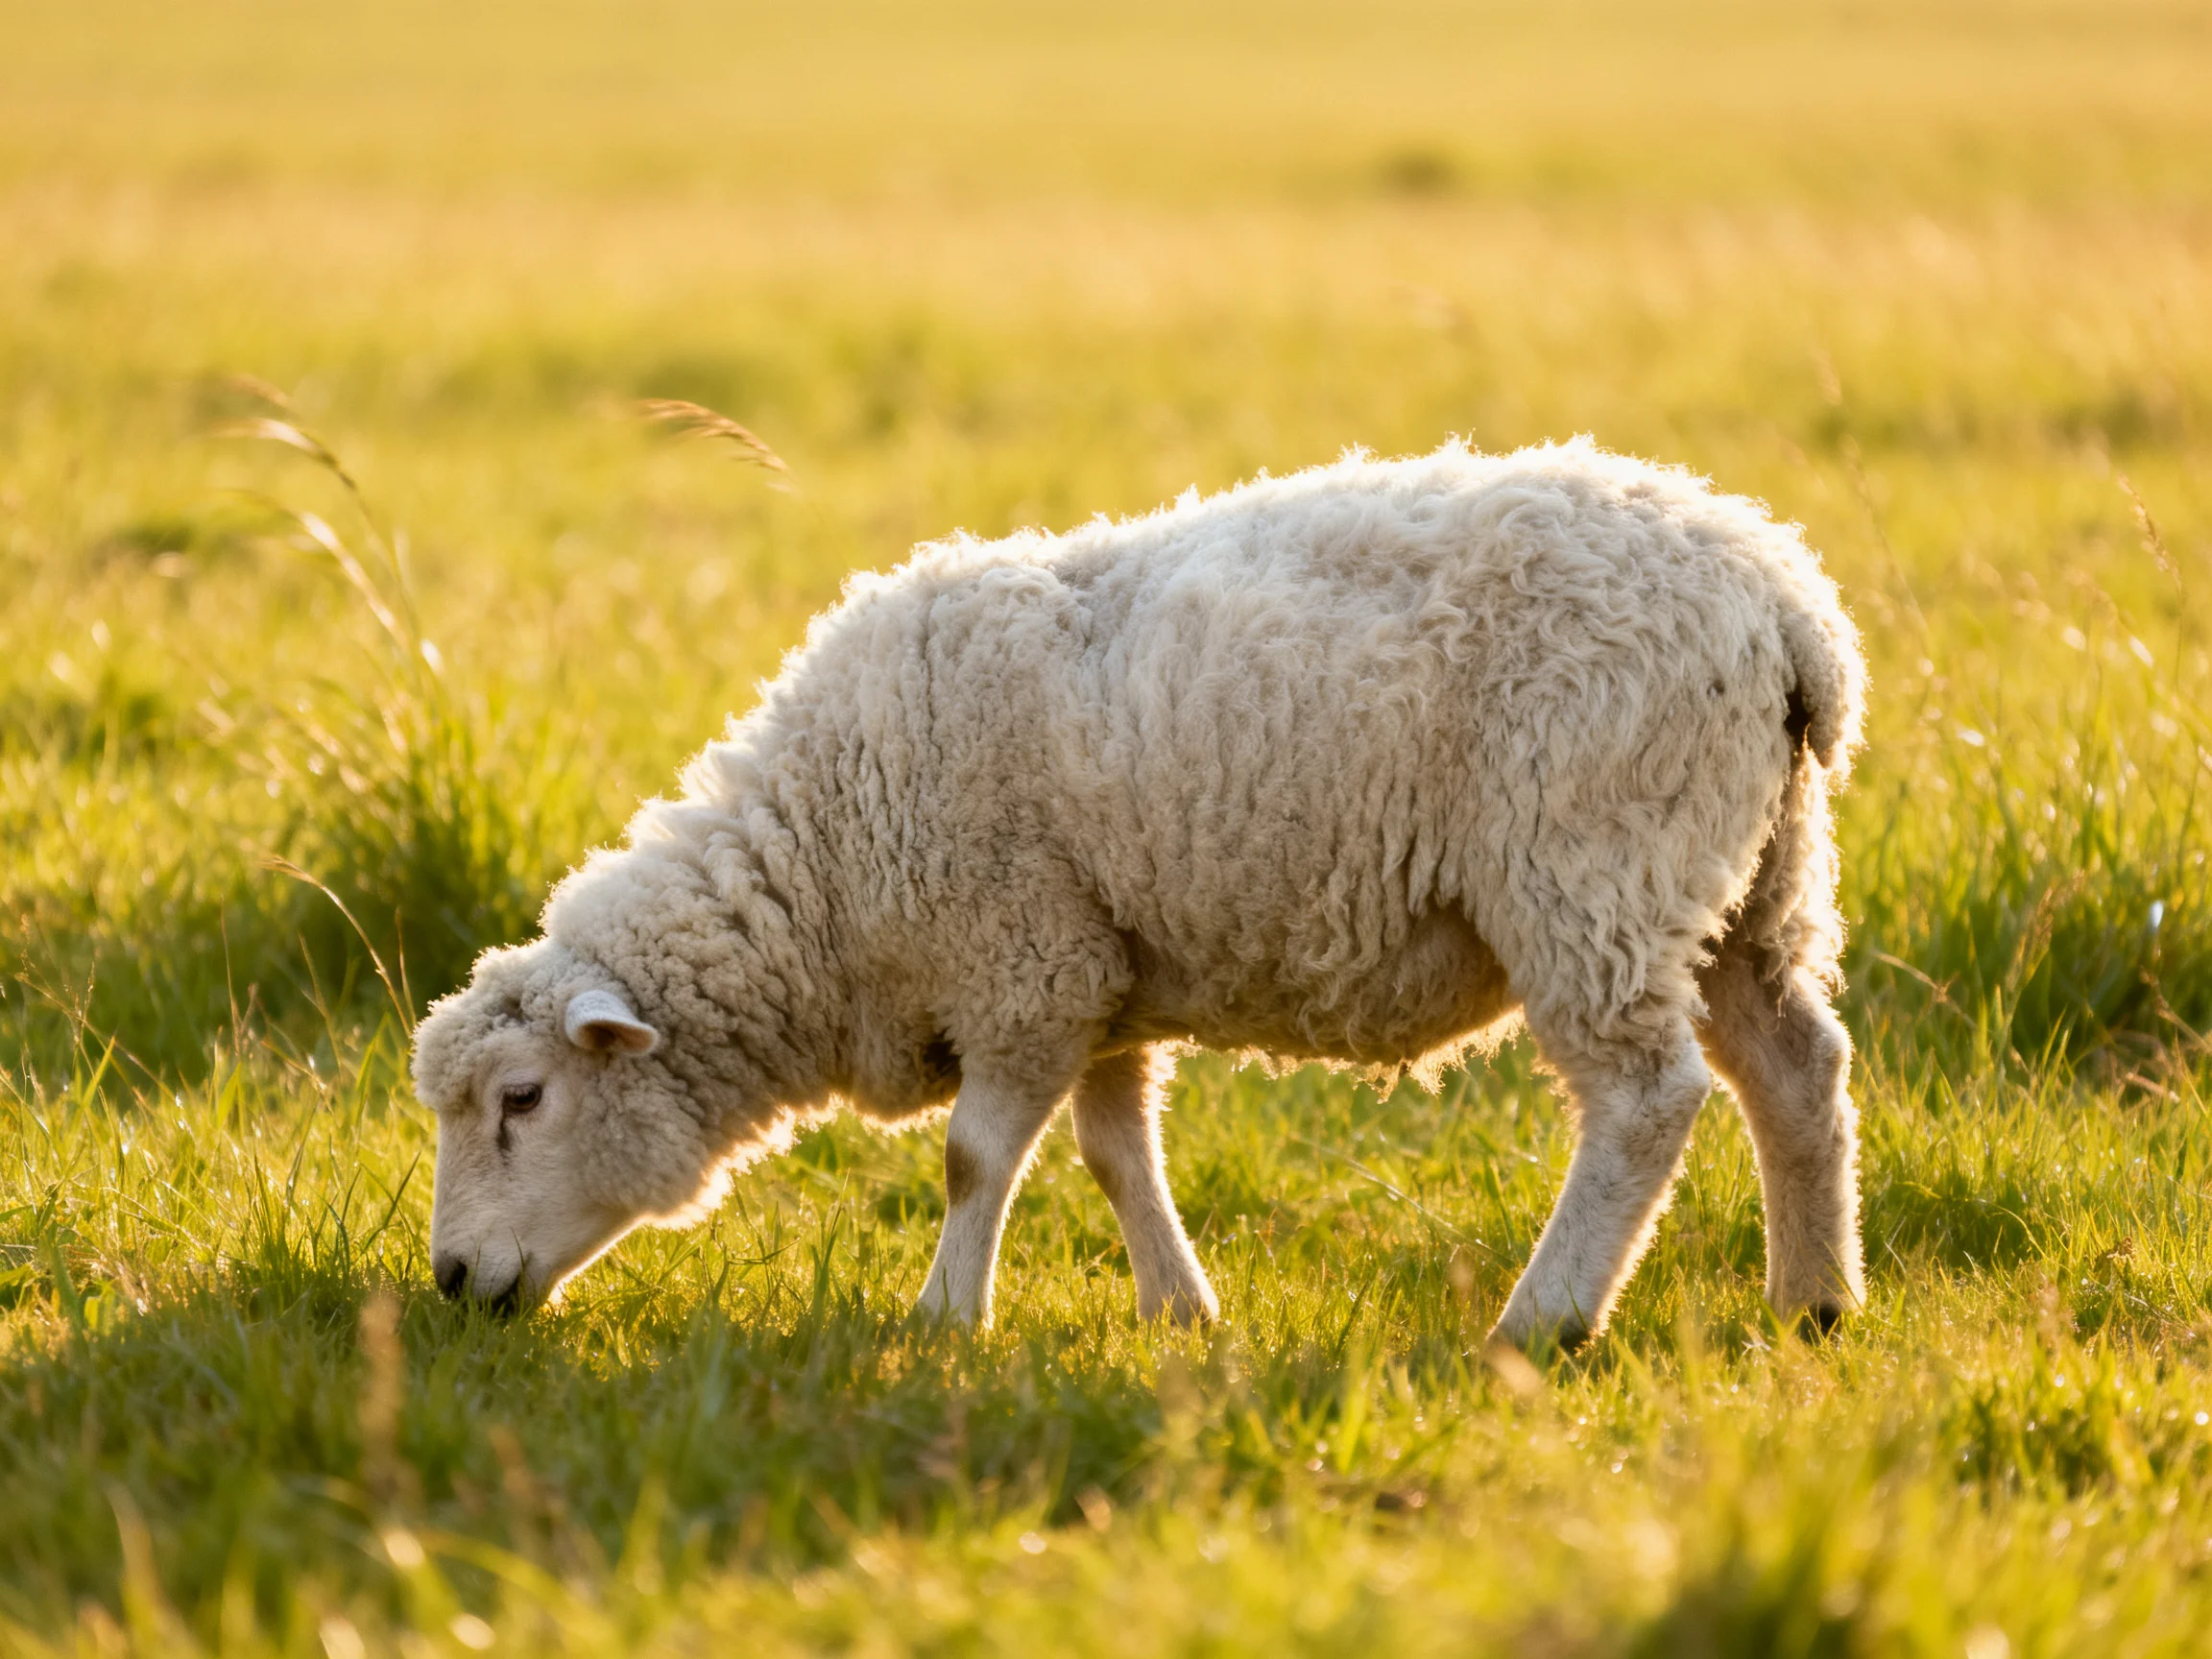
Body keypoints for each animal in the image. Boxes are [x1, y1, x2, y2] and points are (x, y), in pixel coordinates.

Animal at [411, 437, 1867, 1350]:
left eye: (523, 1101)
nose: (449, 1283)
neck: (824, 870)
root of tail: (1784, 599)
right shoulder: (1098, 975)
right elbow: (1118, 1155)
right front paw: (1181, 1310)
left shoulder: (1022, 965)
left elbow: (971, 1158)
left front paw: (944, 1319)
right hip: (1752, 878)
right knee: (1797, 1070)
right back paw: (1813, 1303)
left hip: (1593, 867)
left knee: (1645, 1102)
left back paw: (1546, 1320)